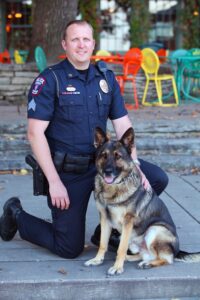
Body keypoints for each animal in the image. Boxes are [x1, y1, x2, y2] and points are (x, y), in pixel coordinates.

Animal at [85, 126, 200, 274]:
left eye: (118, 156)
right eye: (104, 155)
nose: (107, 172)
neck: (114, 187)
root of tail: (177, 250)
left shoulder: (128, 221)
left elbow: (121, 248)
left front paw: (117, 267)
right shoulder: (105, 219)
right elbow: (103, 243)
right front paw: (97, 260)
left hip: (154, 229)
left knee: (166, 259)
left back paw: (147, 263)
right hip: (134, 241)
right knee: (143, 254)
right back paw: (132, 259)